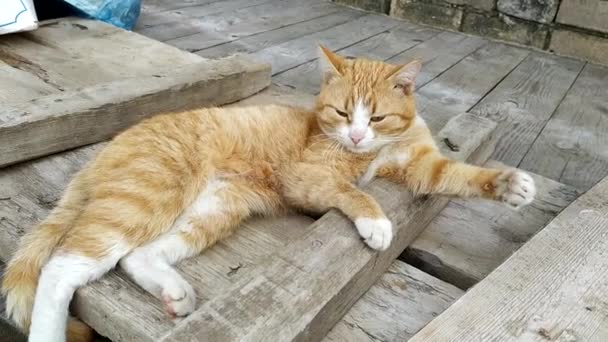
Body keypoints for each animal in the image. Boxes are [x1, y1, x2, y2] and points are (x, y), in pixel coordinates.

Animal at [0, 46, 536, 342]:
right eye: (343, 113)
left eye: (377, 116)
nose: (356, 135)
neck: (375, 149)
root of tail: (112, 145)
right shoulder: (310, 178)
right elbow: (355, 193)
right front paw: (378, 222)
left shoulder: (424, 166)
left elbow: (460, 175)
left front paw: (509, 183)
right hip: (147, 196)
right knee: (63, 265)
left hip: (213, 209)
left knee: (137, 256)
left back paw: (174, 292)